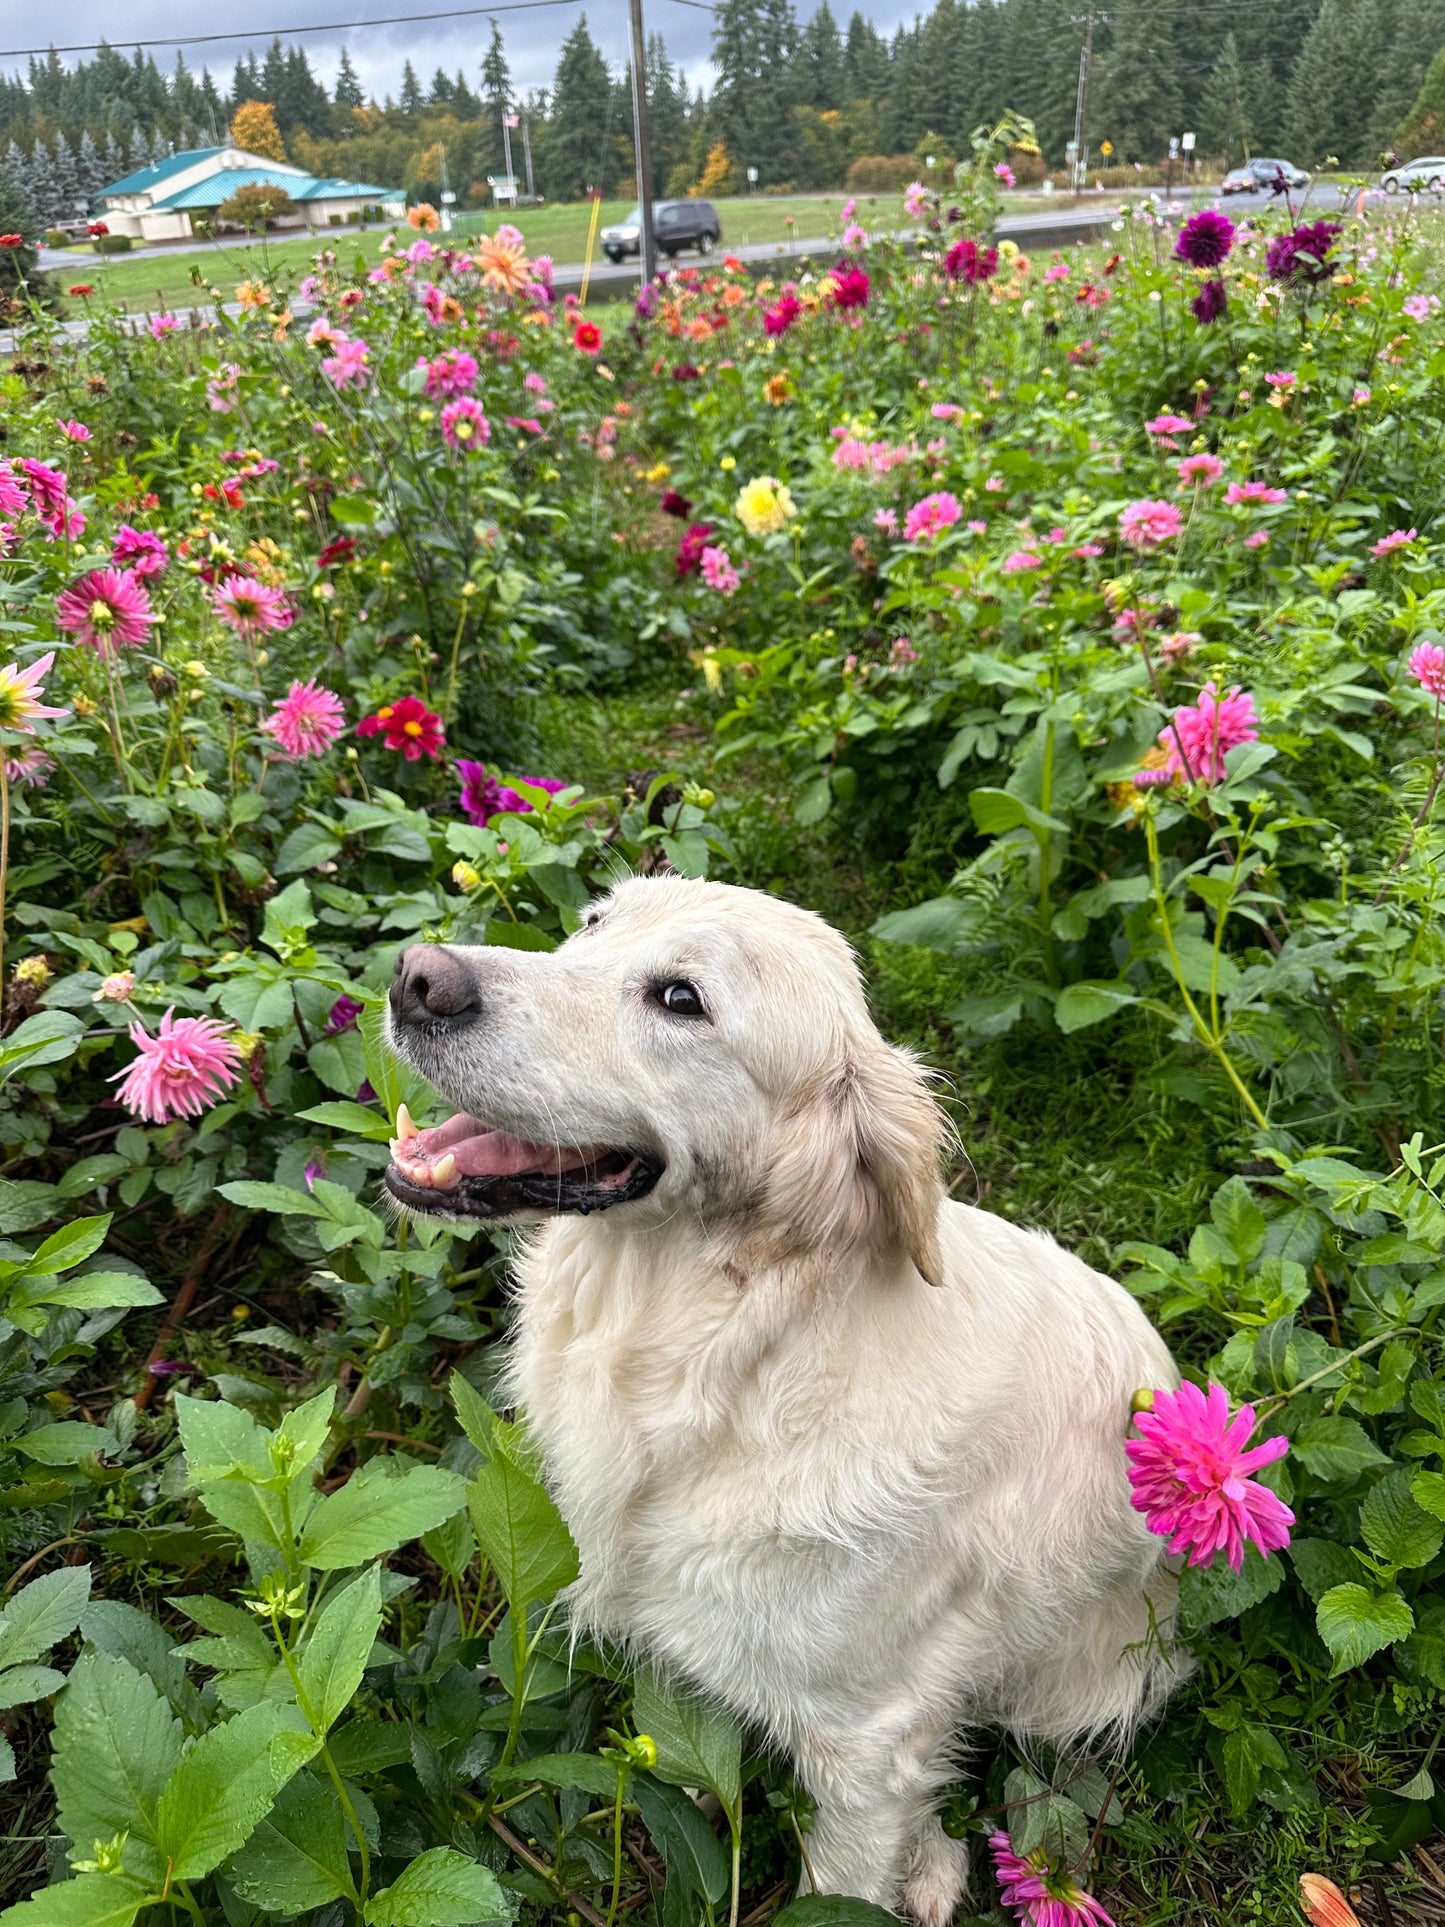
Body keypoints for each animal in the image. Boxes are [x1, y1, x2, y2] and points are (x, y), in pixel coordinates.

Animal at [385, 878, 1186, 1927]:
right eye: (593, 924)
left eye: (682, 999)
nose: (416, 976)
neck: (721, 1362)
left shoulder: (866, 1741)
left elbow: (842, 1875)